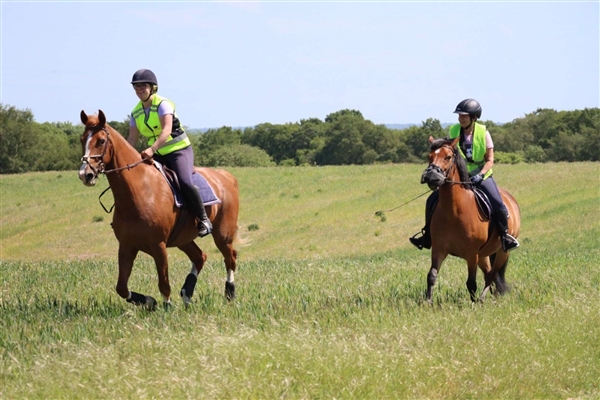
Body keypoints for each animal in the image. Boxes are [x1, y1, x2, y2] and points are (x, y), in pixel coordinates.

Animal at [78, 109, 240, 310]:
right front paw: (149, 301)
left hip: (222, 234)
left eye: (101, 141)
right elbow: (121, 287)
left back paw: (229, 293)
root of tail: (225, 176)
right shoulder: (126, 246)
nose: (85, 174)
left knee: (230, 258)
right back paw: (187, 293)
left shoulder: (159, 246)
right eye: (82, 139)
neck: (139, 192)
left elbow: (164, 283)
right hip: (182, 239)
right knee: (200, 257)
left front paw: (167, 307)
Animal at [418, 137, 520, 304]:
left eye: (448, 157)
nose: (431, 177)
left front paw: (473, 304)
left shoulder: (472, 254)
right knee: (489, 273)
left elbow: (471, 282)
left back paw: (482, 299)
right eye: (429, 156)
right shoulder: (439, 250)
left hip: (501, 252)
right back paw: (493, 295)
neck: (454, 211)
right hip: (484, 255)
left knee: (492, 274)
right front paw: (428, 302)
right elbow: (431, 276)